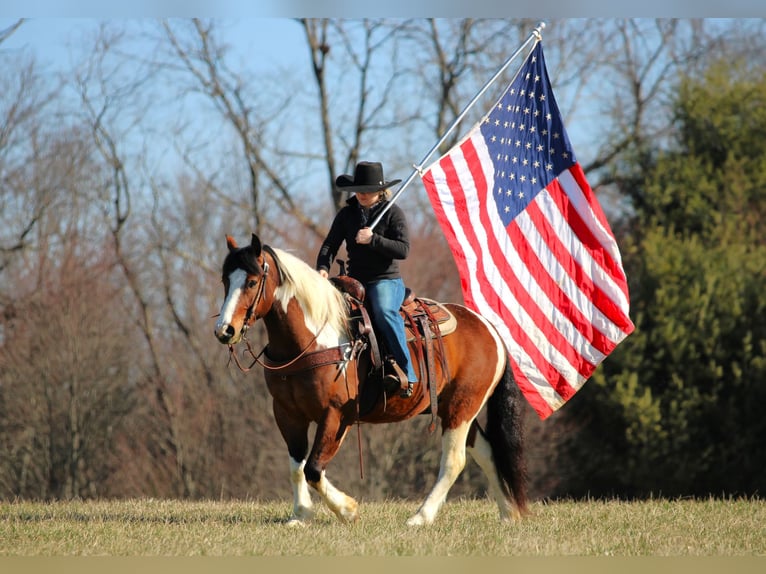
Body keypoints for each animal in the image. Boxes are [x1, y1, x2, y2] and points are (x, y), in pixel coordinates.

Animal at [214, 233, 528, 526]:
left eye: (252, 281)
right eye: (225, 280)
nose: (225, 330)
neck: (314, 338)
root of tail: (488, 327)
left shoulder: (336, 415)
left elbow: (313, 469)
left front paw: (347, 510)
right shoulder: (287, 413)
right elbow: (297, 466)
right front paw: (300, 515)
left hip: (461, 408)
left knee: (454, 460)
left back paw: (421, 517)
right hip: (458, 409)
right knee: (486, 452)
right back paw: (508, 514)